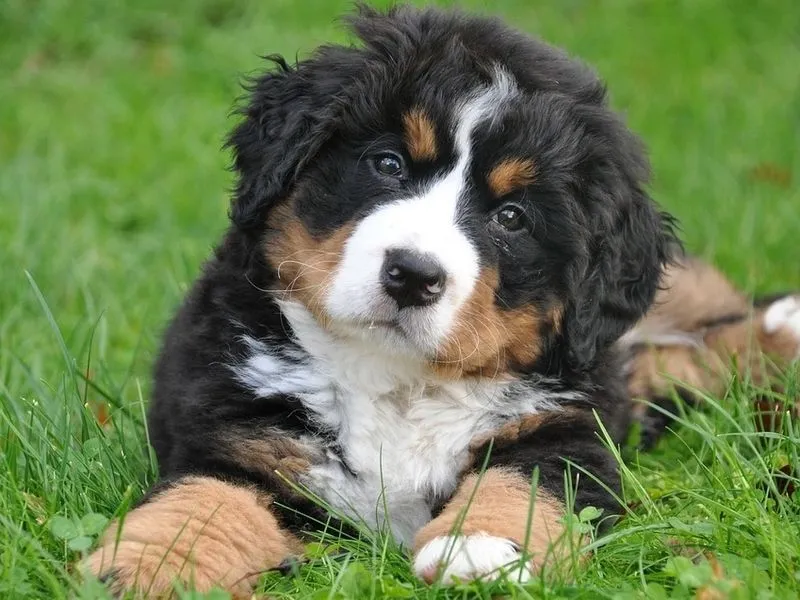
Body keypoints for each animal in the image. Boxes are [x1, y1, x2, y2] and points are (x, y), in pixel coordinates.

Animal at [84, 4, 796, 596]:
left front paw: (480, 548)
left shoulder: (570, 429)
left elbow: (521, 484)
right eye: (388, 164)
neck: (397, 381)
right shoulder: (239, 431)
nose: (413, 275)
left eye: (511, 217)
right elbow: (202, 504)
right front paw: (145, 565)